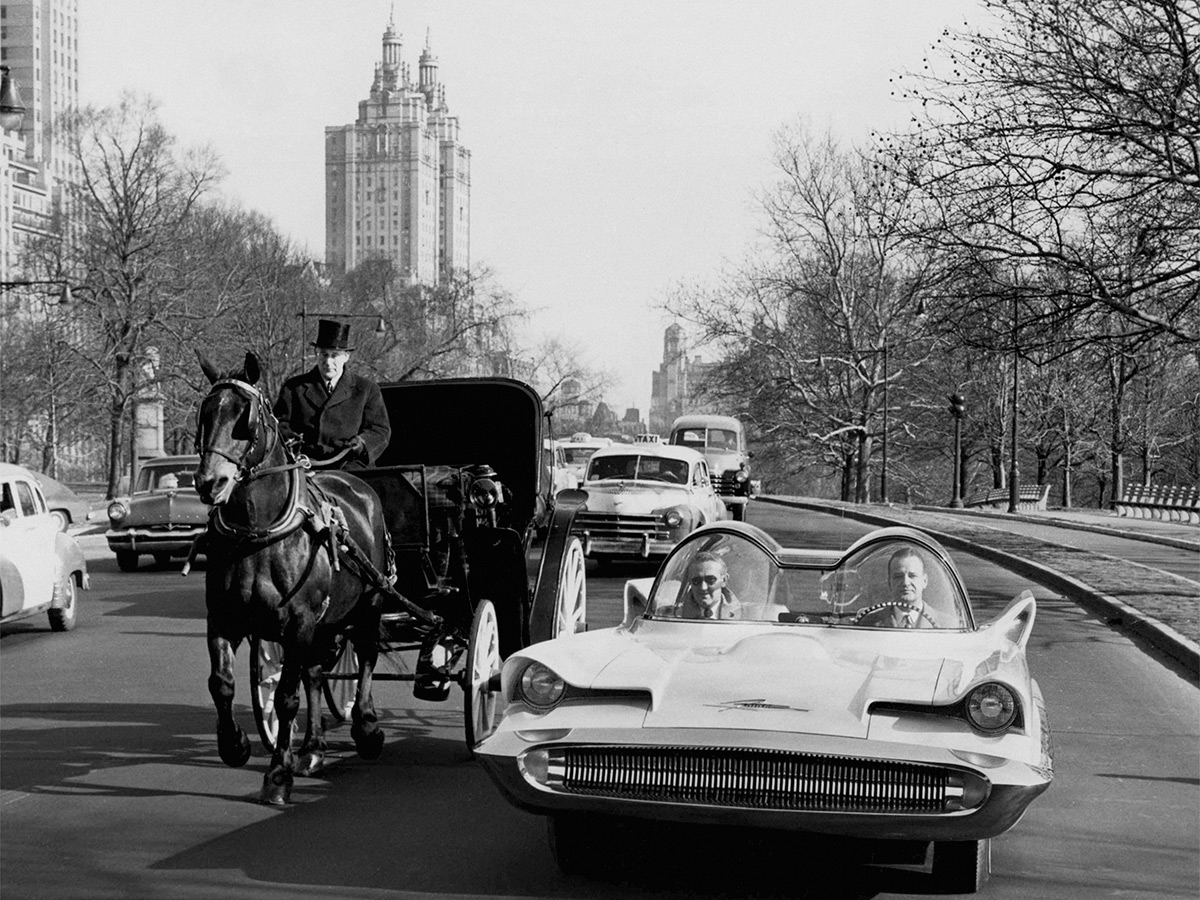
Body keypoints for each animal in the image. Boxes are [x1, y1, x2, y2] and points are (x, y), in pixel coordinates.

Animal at [194, 350, 386, 801]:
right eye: (204, 414)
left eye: (245, 419)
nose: (210, 482)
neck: (257, 532)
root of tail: (357, 485)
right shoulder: (224, 619)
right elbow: (221, 683)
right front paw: (234, 745)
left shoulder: (298, 623)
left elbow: (285, 698)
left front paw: (278, 774)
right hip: (324, 623)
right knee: (316, 673)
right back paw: (313, 748)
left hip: (368, 605)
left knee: (366, 656)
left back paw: (366, 726)